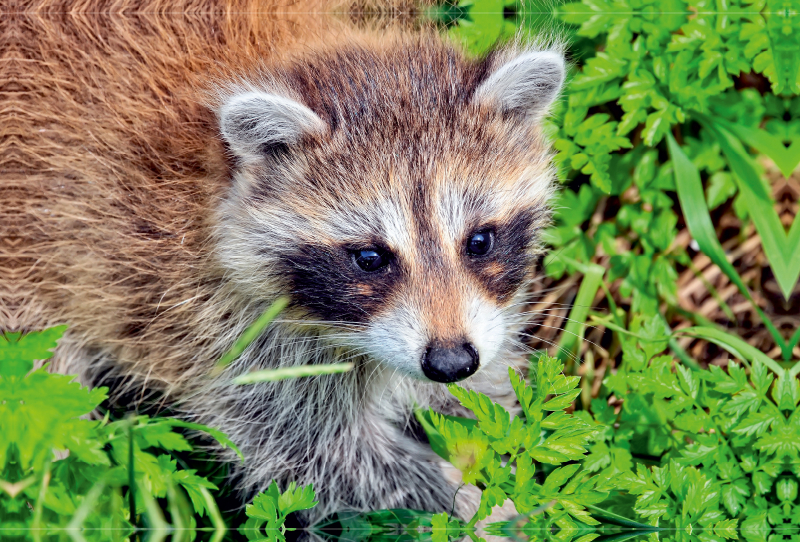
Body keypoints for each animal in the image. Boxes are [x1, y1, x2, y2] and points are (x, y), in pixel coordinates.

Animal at [6, 0, 568, 528]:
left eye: (479, 241)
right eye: (370, 258)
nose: (450, 362)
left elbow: (479, 396)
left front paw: (491, 431)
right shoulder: (210, 322)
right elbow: (324, 456)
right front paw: (480, 510)